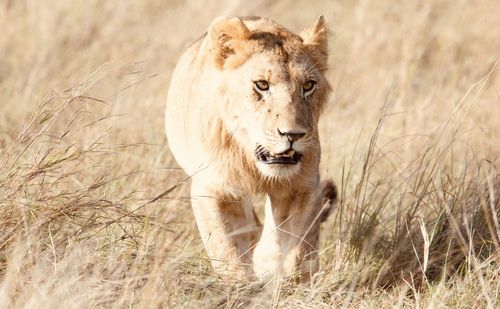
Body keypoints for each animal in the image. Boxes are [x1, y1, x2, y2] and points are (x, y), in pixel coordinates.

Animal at [165, 15, 336, 280]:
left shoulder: (303, 186)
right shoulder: (215, 189)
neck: (254, 164)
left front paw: (290, 277)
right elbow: (228, 251)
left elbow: (299, 246)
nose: (293, 134)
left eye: (308, 85)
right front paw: (241, 284)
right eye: (262, 85)